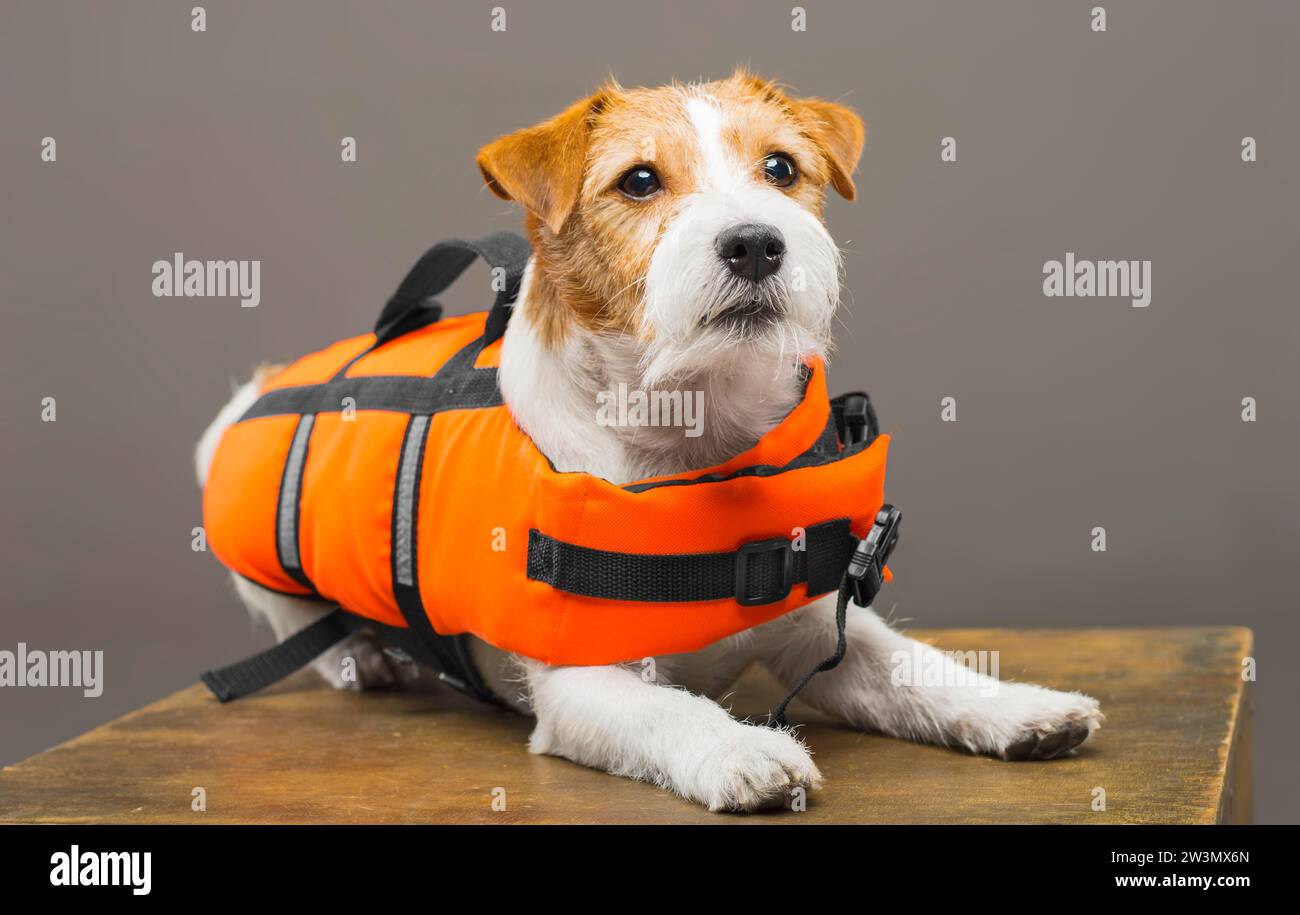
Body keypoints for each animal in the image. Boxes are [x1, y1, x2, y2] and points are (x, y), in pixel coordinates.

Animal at [197, 73, 1102, 816]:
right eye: (638, 180)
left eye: (781, 168)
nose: (755, 241)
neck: (696, 432)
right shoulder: (584, 684)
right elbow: (670, 706)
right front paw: (742, 747)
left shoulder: (819, 626)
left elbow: (913, 667)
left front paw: (1016, 704)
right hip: (263, 560)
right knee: (303, 625)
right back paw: (367, 657)